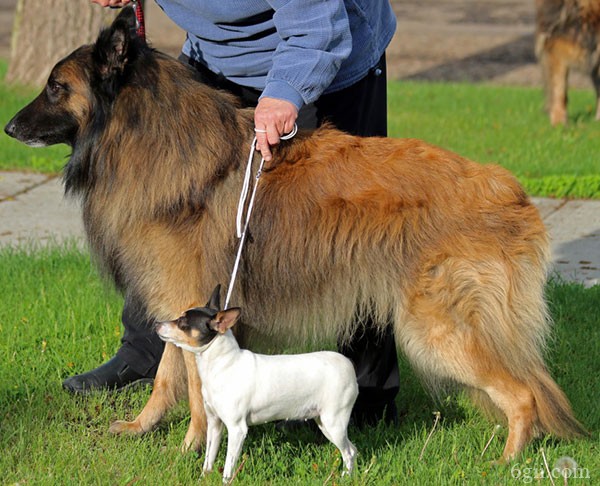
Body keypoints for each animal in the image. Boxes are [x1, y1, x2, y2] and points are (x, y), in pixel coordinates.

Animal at [157, 284, 358, 482]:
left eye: (182, 322)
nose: (157, 323)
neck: (223, 365)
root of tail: (348, 366)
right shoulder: (214, 425)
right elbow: (209, 460)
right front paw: (203, 479)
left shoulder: (237, 429)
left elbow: (228, 468)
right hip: (323, 421)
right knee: (353, 449)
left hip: (333, 422)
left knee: (348, 452)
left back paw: (345, 478)